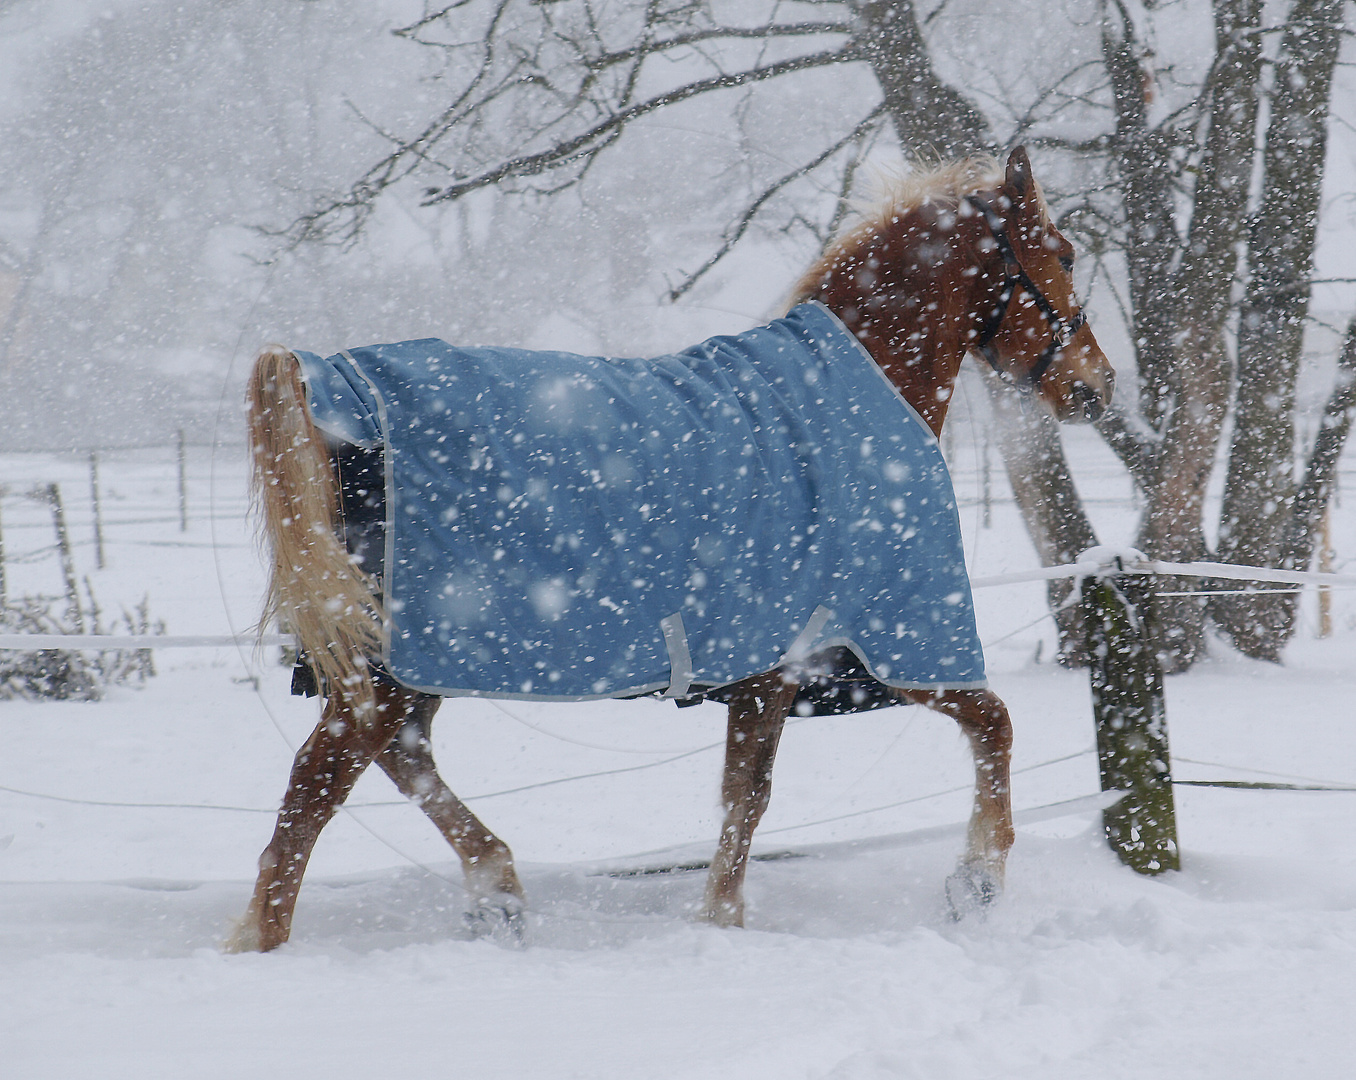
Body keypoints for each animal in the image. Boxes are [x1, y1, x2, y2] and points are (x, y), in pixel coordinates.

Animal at [225, 147, 1111, 949]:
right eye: (1064, 254)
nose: (1097, 386)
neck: (852, 400)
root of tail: (337, 386)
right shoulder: (861, 649)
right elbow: (983, 726)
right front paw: (976, 881)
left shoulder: (789, 671)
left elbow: (749, 794)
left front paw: (725, 919)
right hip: (394, 673)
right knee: (313, 793)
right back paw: (265, 944)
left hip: (410, 668)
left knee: (401, 762)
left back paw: (498, 890)